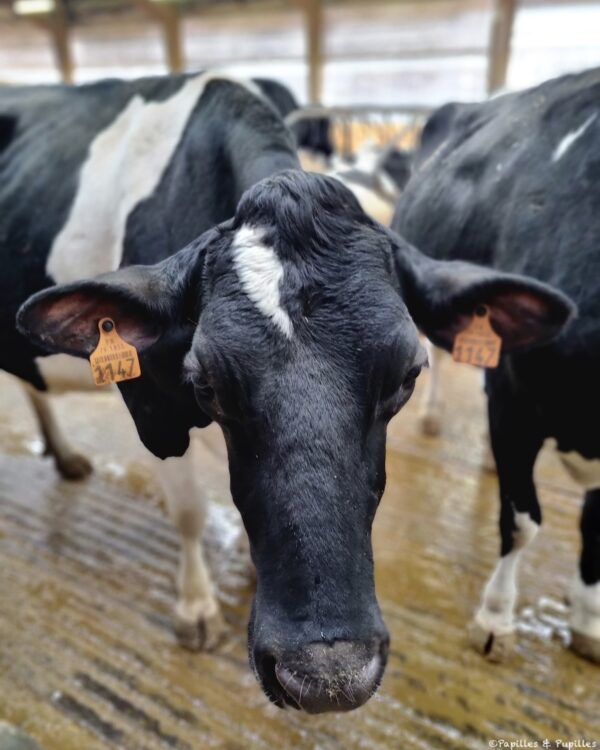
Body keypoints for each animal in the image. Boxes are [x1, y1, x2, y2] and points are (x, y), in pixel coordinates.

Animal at [5, 72, 572, 712]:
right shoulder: (152, 408)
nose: (327, 675)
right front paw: (196, 608)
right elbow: (189, 510)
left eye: (408, 374)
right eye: (203, 382)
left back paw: (65, 455)